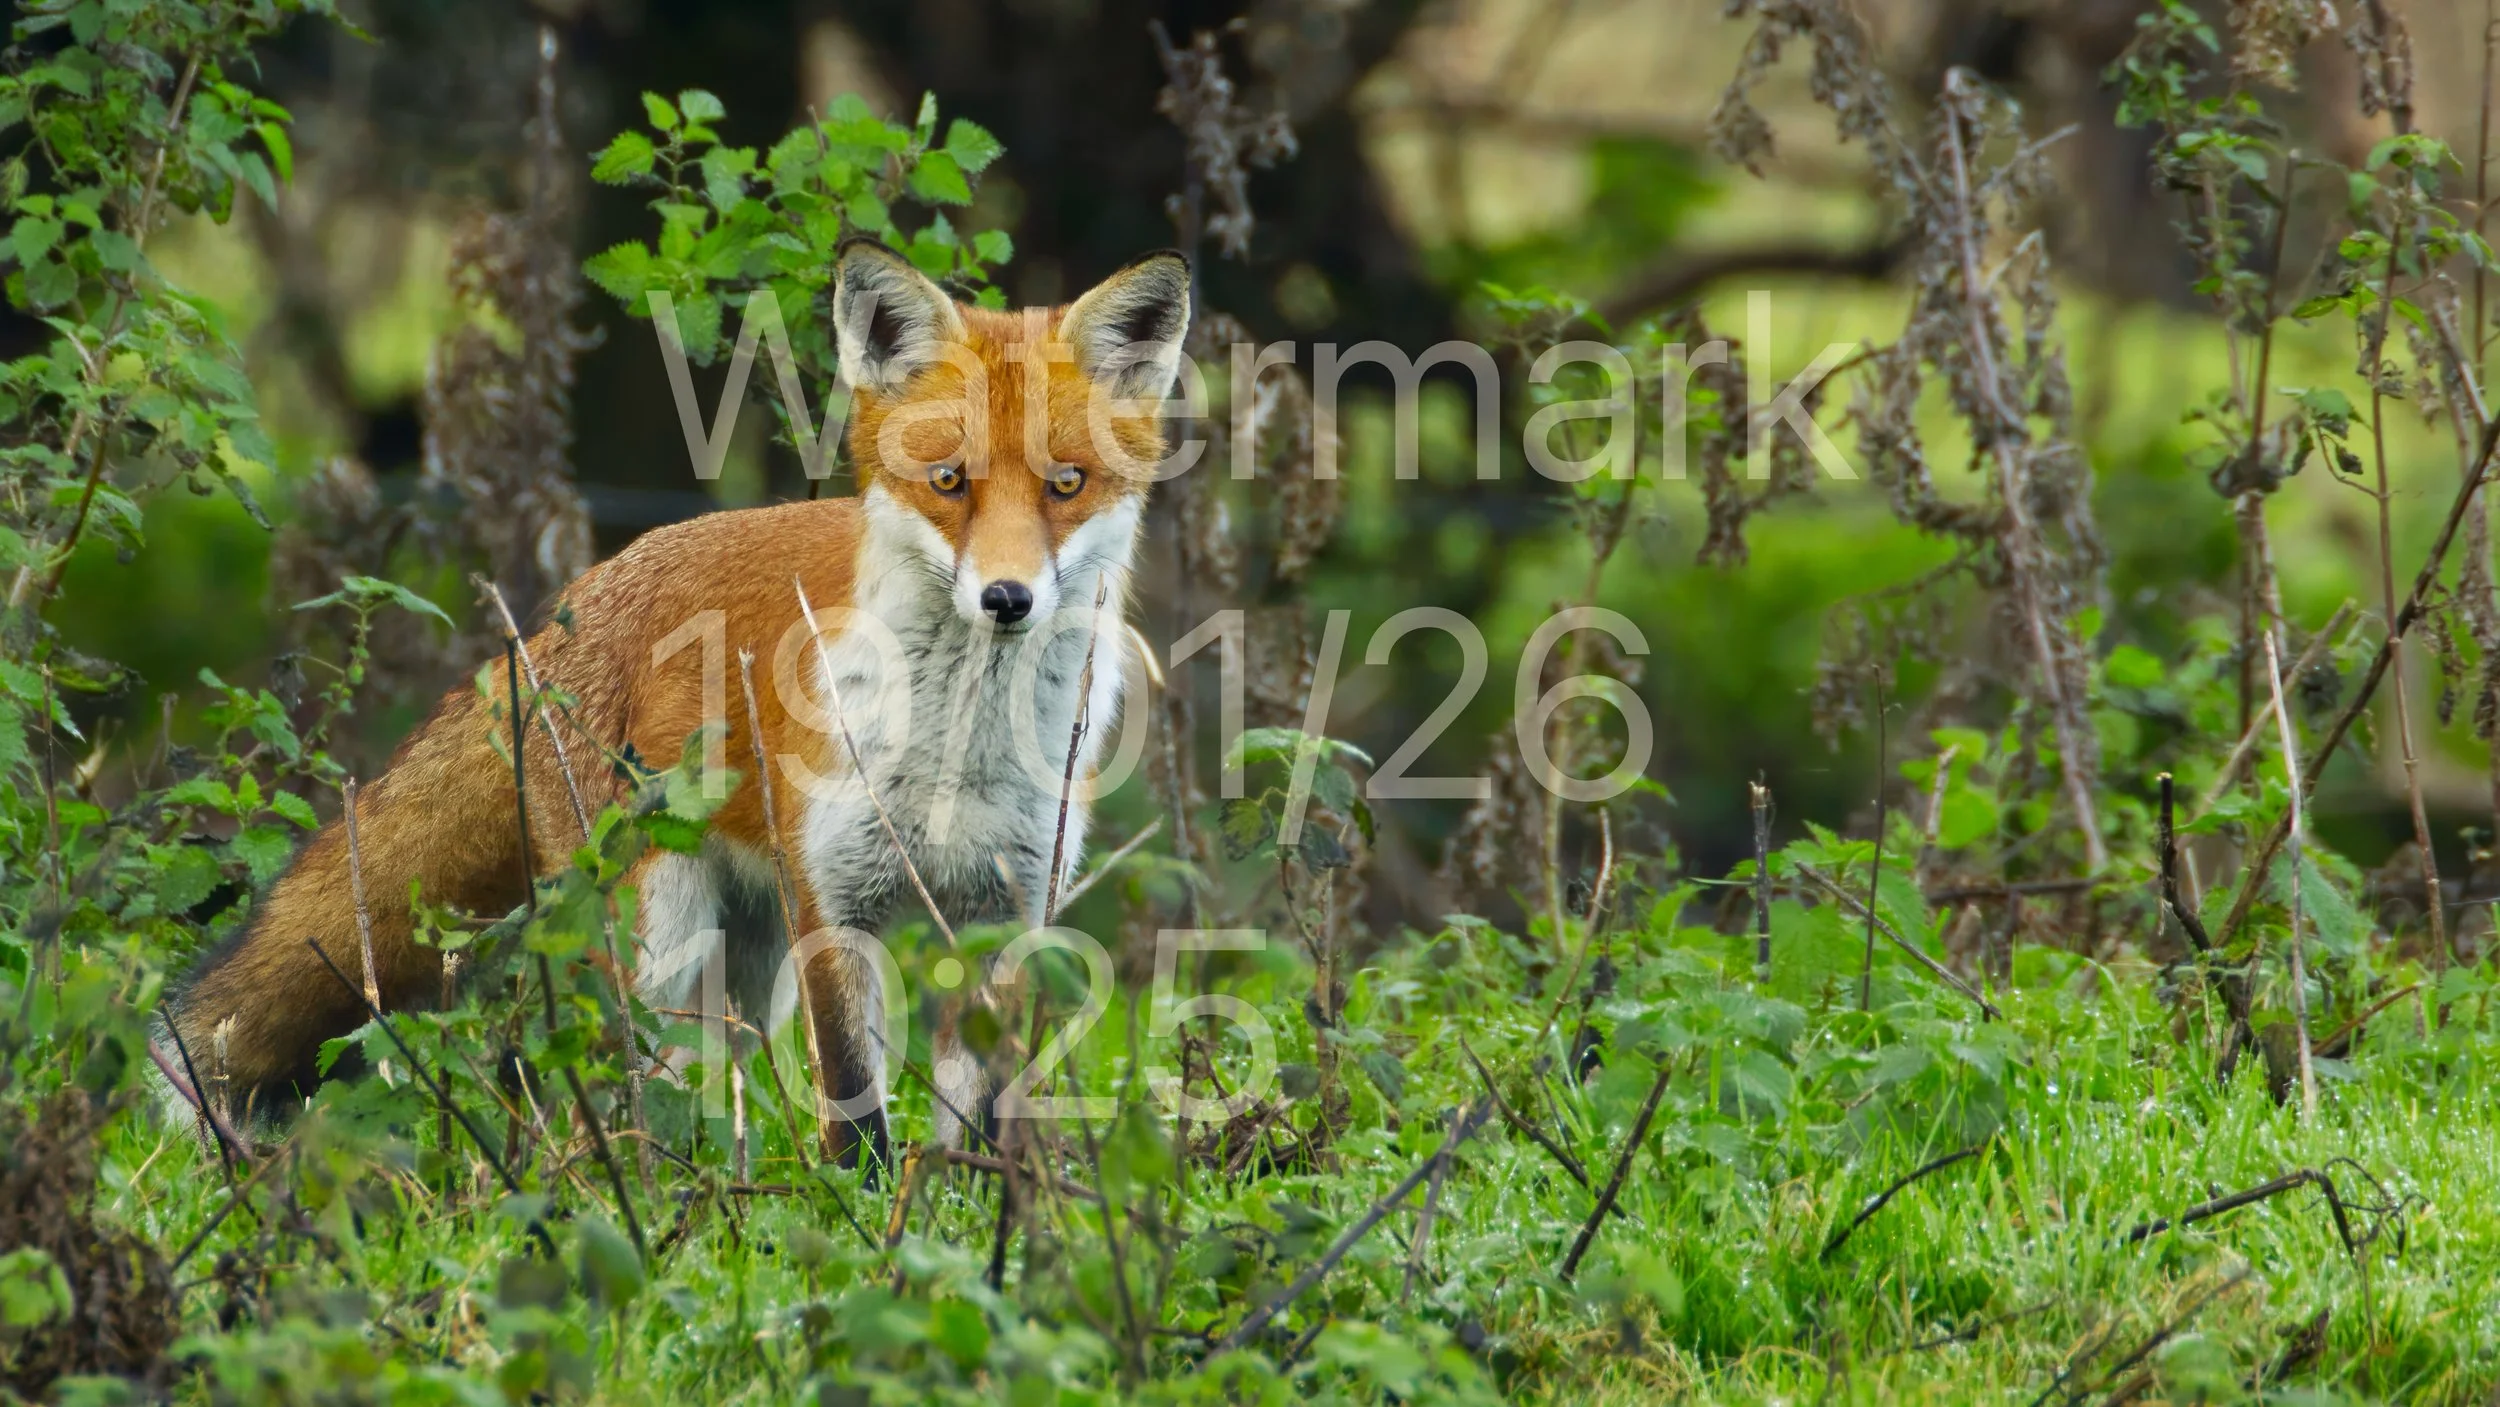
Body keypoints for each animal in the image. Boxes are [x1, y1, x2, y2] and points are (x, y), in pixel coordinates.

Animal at [166, 239, 1193, 1166]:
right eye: (950, 482)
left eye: (1067, 484)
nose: (1007, 598)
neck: (957, 746)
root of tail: (561, 613)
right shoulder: (832, 903)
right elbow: (854, 1106)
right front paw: (865, 1214)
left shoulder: (1010, 906)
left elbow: (974, 1115)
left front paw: (966, 1216)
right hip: (658, 933)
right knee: (623, 1085)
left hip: (745, 957)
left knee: (701, 1082)